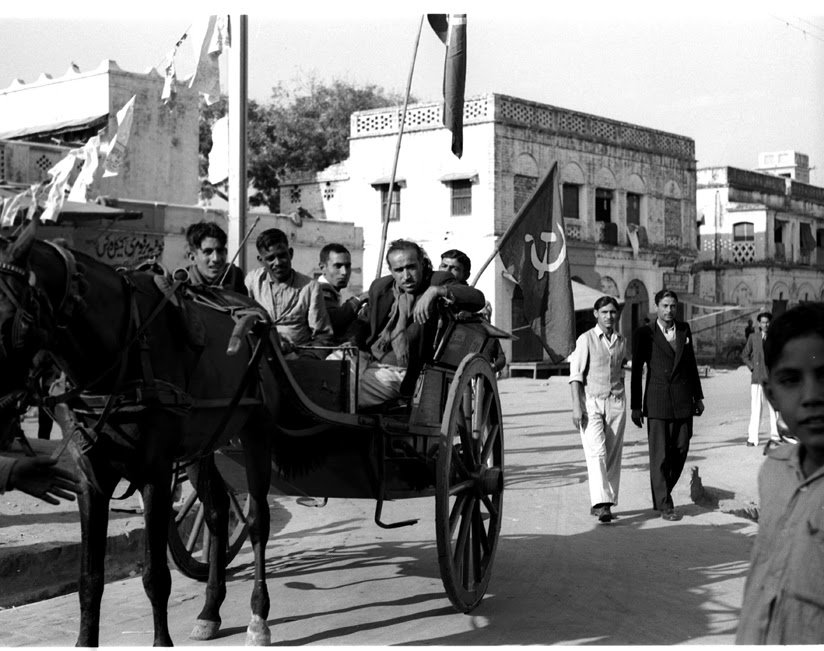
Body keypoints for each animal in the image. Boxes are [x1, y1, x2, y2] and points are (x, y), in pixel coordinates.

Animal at [0, 216, 278, 644]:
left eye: (9, 316)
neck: (119, 349)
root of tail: (255, 312)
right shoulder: (90, 476)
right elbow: (89, 579)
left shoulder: (156, 473)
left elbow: (156, 576)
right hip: (203, 446)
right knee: (216, 511)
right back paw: (210, 610)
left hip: (257, 432)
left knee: (258, 520)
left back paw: (258, 616)